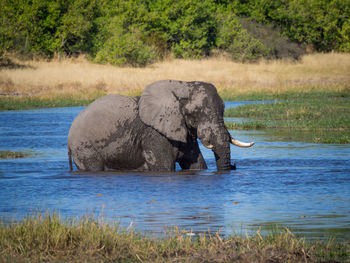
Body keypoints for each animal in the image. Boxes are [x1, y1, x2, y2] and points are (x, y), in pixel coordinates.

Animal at [67, 79, 254, 172]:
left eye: (223, 109)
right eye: (195, 114)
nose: (234, 166)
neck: (181, 87)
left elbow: (197, 165)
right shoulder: (154, 134)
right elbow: (163, 167)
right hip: (85, 148)